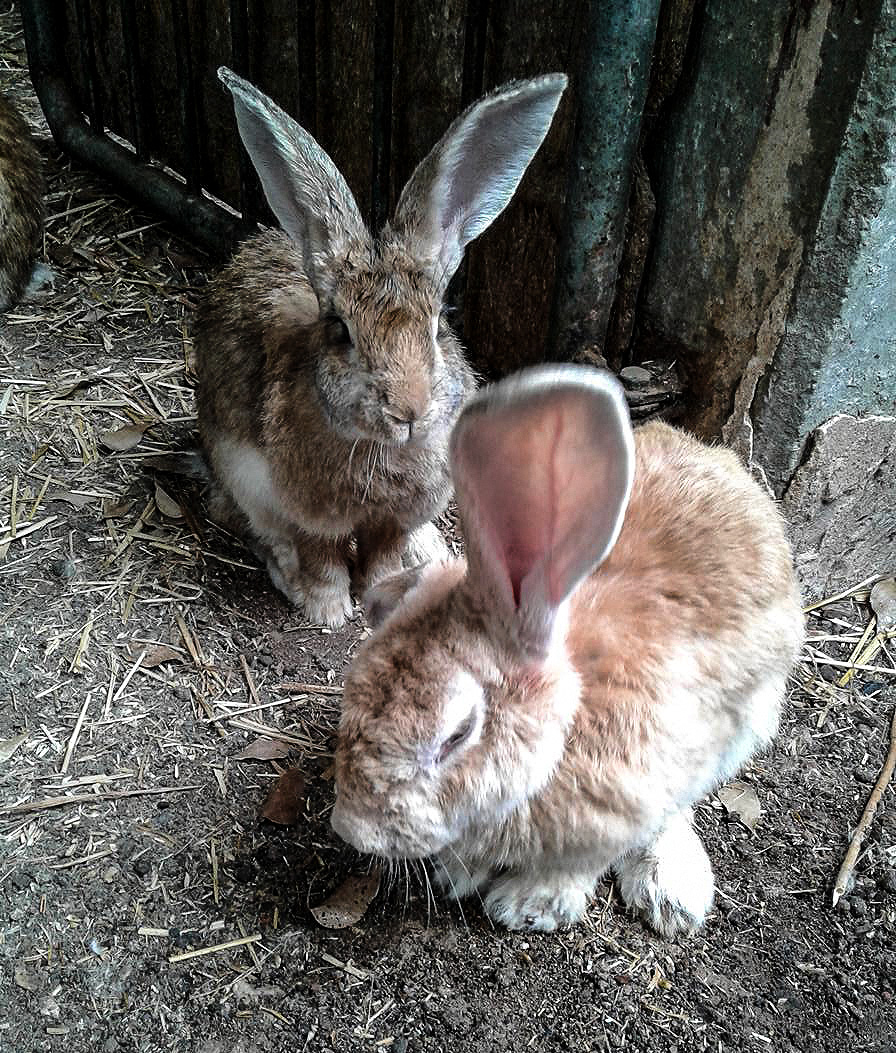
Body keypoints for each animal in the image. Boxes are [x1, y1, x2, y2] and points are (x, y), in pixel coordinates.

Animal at [195, 68, 567, 626]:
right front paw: (327, 610)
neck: (383, 448)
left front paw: (389, 593)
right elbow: (322, 557)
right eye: (341, 331)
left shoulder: (396, 518)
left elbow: (383, 557)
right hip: (238, 474)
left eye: (439, 324)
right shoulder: (307, 513)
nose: (409, 410)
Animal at [331, 364, 804, 934]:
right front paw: (459, 873)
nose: (352, 829)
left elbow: (587, 859)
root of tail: (726, 465)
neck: (565, 727)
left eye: (458, 733)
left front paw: (529, 904)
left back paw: (670, 890)